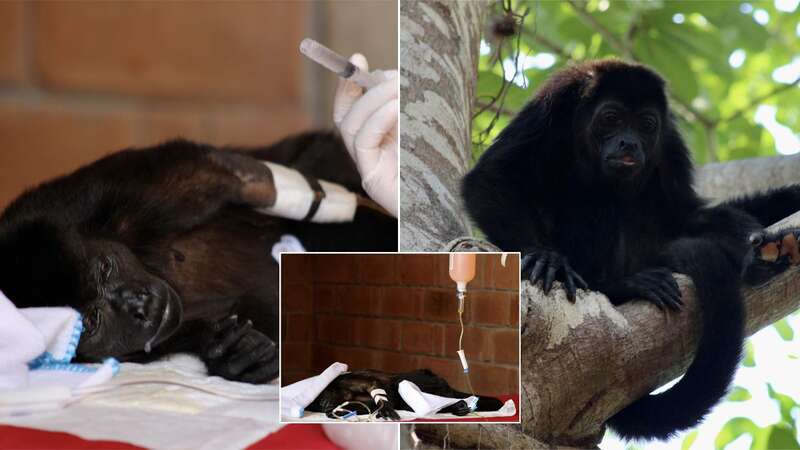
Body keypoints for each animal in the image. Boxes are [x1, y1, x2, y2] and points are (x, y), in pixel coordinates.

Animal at [0, 132, 398, 384]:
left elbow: (212, 167)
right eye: (92, 320)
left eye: (105, 267)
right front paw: (235, 355)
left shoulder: (98, 192)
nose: (139, 305)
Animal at [304, 368, 504, 420]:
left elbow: (373, 384)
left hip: (424, 379)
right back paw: (458, 407)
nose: (323, 405)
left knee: (401, 383)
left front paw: (384, 407)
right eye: (316, 405)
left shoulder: (347, 380)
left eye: (320, 399)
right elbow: (366, 406)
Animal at [460, 59, 800, 440]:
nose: (629, 143)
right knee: (594, 197)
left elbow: (687, 216)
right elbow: (489, 179)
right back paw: (619, 285)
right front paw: (545, 257)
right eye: (611, 118)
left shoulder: (668, 144)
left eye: (646, 125)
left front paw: (760, 250)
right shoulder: (550, 107)